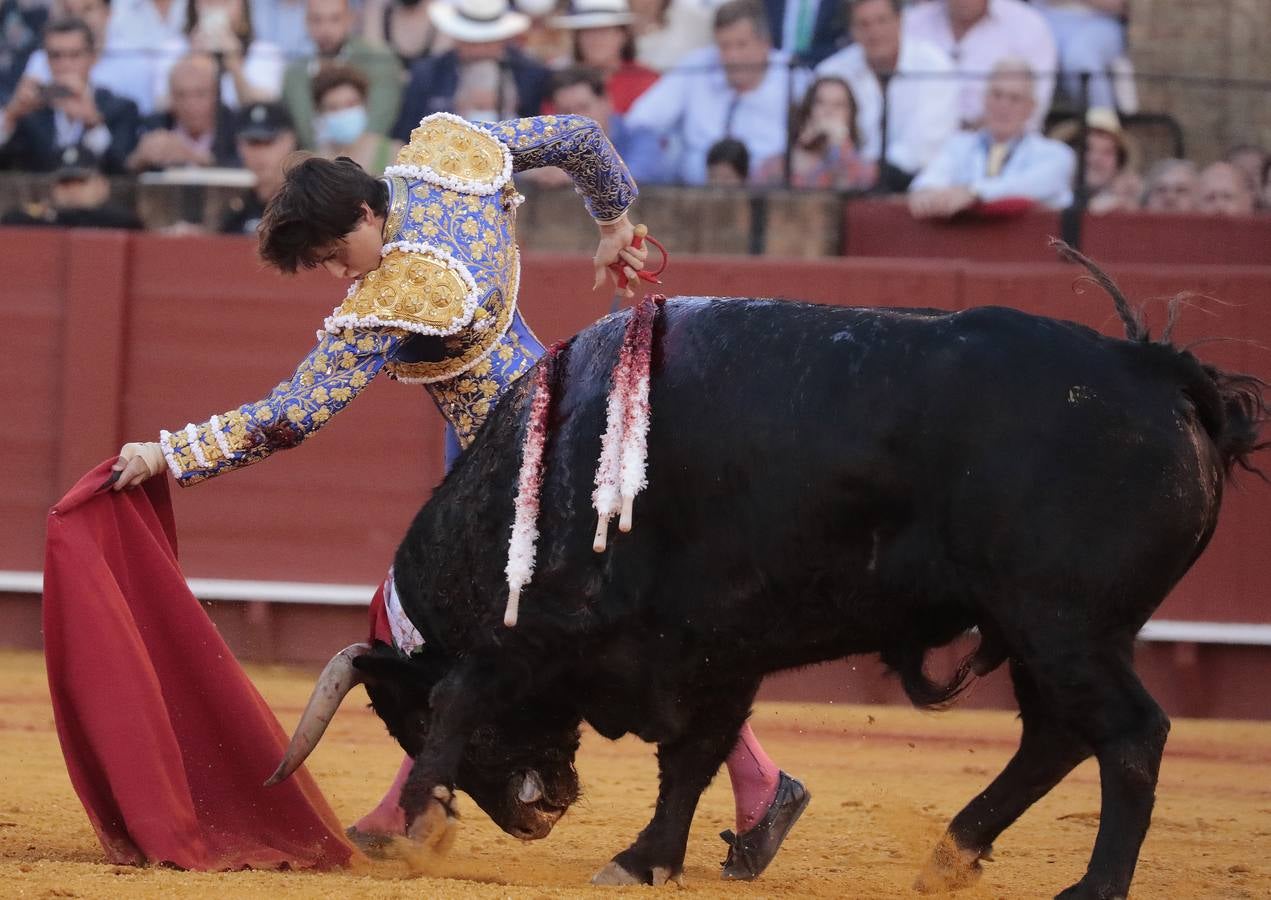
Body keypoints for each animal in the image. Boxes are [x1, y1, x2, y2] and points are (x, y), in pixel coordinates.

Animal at [275, 279, 1260, 894]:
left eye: (399, 719)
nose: (540, 816)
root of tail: (1157, 372)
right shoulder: (717, 645)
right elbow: (694, 756)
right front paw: (648, 858)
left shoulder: (539, 635)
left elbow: (468, 702)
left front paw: (416, 826)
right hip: (1040, 632)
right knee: (1055, 737)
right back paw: (951, 854)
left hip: (1062, 622)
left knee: (1127, 735)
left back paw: (1090, 886)